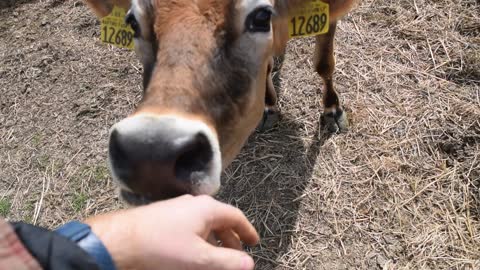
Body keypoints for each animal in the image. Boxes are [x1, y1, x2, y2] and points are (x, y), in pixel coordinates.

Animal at [84, 0, 358, 202]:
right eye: (132, 22)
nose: (152, 154)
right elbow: (268, 67)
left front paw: (332, 110)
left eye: (261, 17)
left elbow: (324, 63)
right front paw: (270, 105)